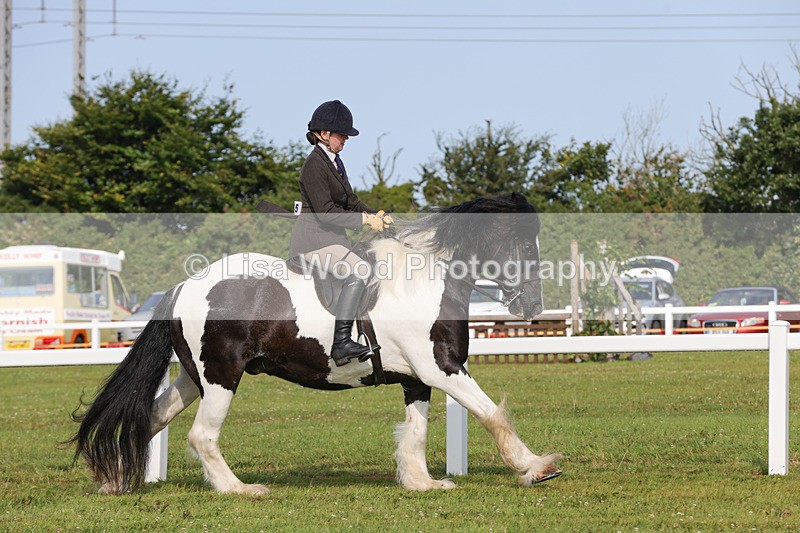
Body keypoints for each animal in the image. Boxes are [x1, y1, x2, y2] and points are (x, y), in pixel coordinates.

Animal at [70, 192, 562, 495]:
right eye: (523, 243)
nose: (532, 305)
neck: (427, 278)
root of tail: (183, 286)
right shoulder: (441, 367)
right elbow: (492, 414)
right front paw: (536, 467)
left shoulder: (417, 377)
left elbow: (417, 431)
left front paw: (422, 482)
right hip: (222, 376)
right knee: (202, 434)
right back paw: (240, 489)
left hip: (196, 377)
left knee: (153, 416)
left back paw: (115, 480)